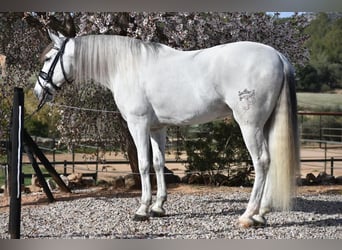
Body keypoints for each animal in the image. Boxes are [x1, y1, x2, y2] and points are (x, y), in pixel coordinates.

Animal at [34, 30, 300, 227]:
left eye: (48, 59)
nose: (37, 91)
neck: (126, 66)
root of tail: (277, 55)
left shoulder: (138, 124)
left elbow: (143, 165)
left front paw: (142, 209)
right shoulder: (156, 128)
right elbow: (158, 163)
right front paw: (158, 206)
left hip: (250, 125)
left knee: (261, 161)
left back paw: (248, 215)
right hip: (266, 124)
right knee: (271, 160)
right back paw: (262, 213)